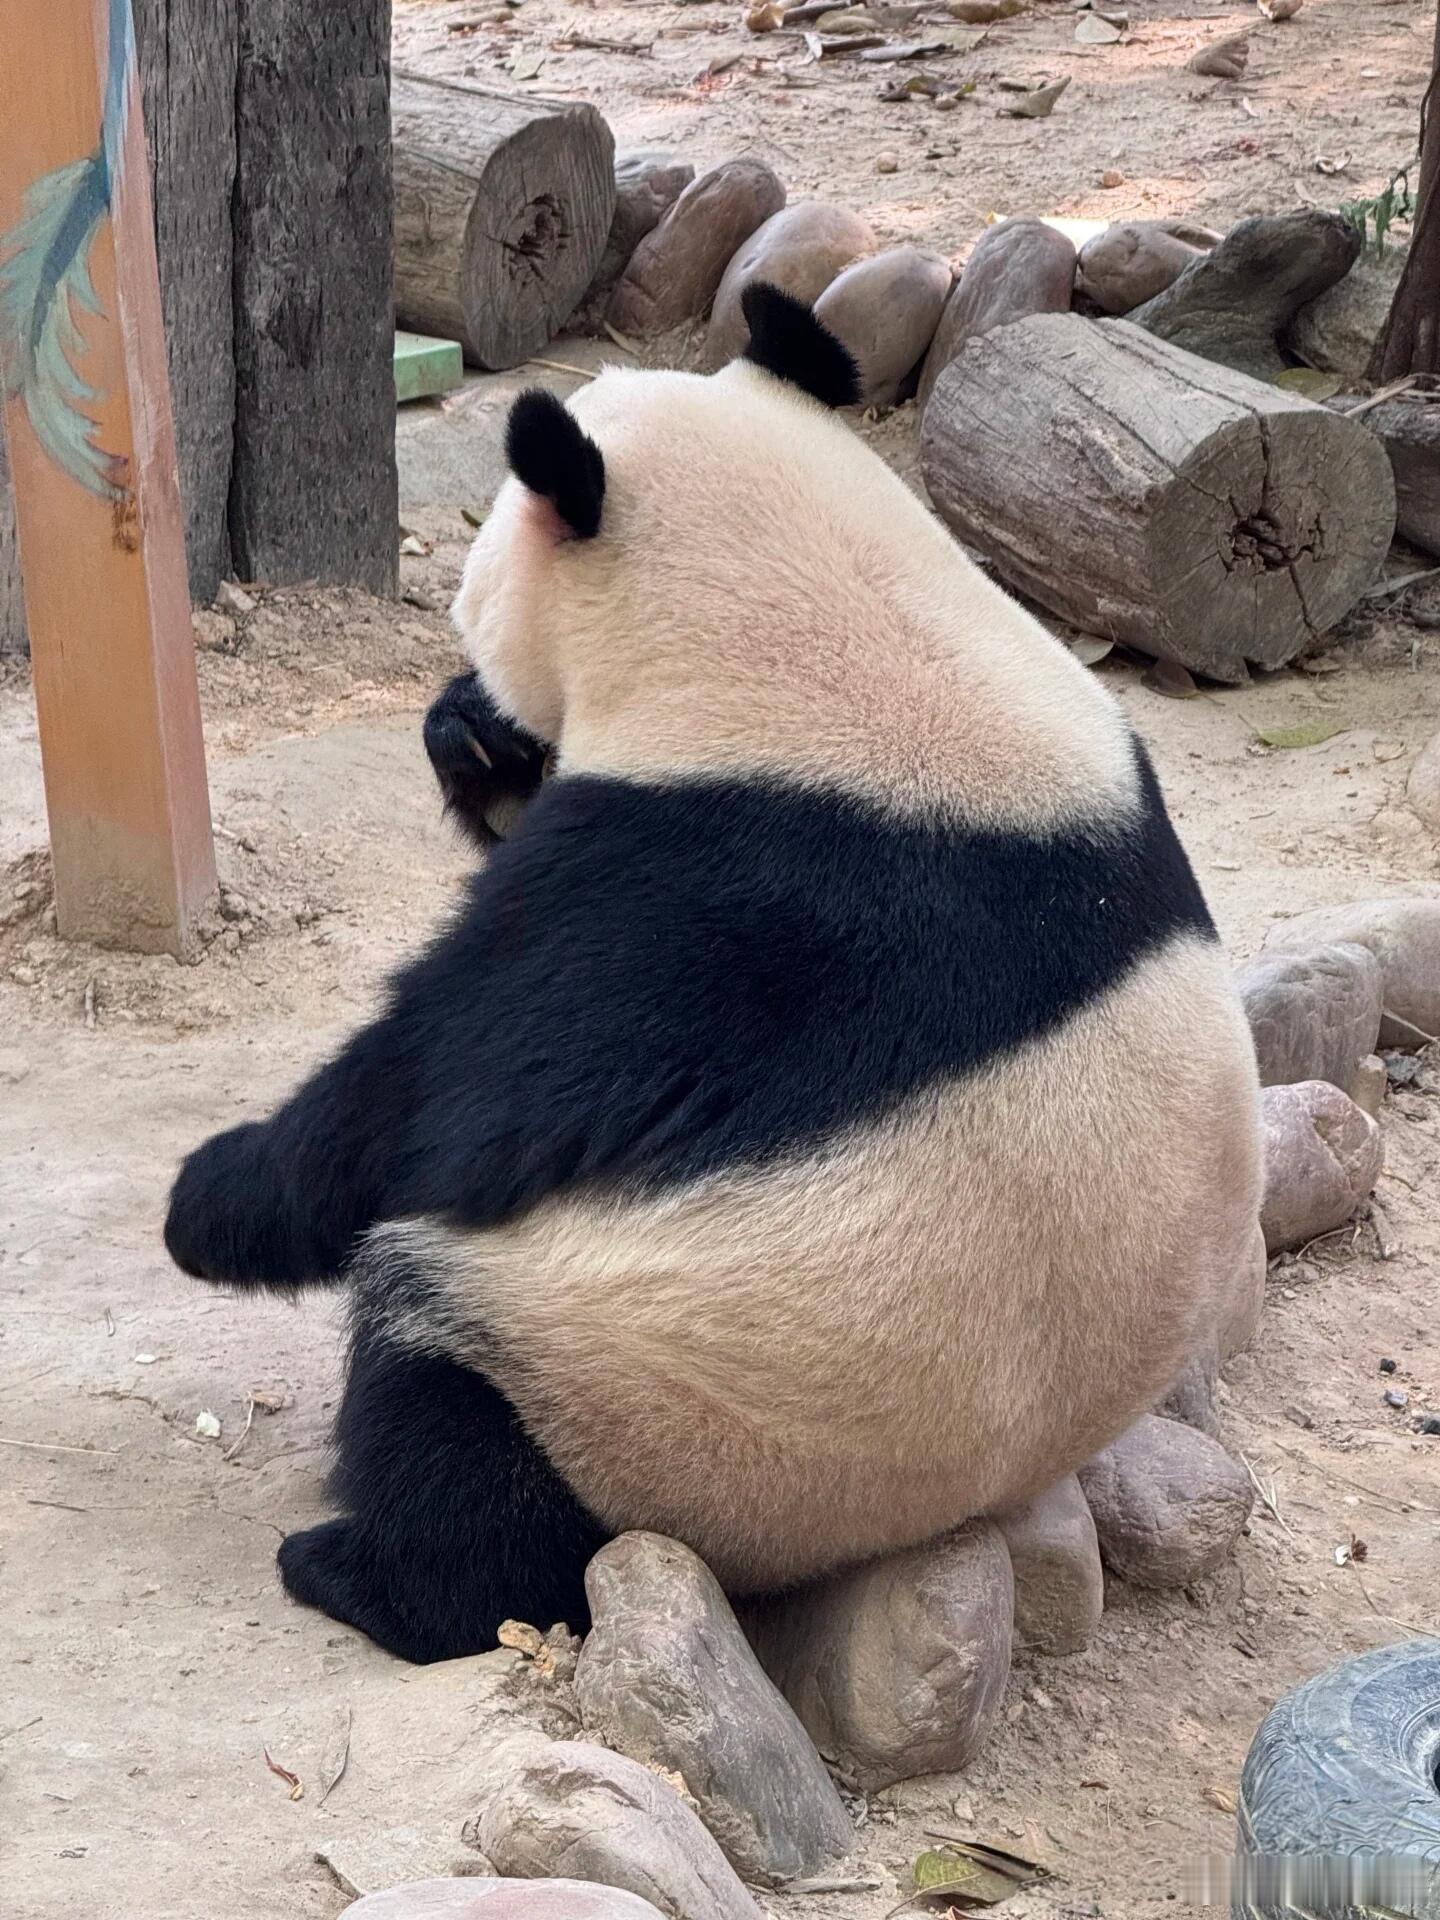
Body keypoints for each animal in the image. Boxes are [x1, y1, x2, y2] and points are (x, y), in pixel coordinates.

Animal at [163, 280, 1259, 1666]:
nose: (464, 644)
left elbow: (439, 1103)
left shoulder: (698, 897)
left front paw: (208, 1197)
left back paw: (364, 1567)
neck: (834, 622)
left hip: (633, 1386)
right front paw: (470, 738)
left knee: (447, 1399)